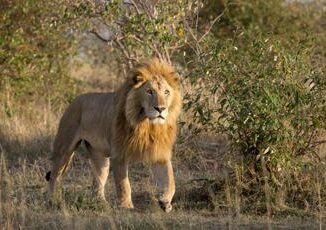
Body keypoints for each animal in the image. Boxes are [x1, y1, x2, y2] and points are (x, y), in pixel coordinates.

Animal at [45, 58, 182, 212]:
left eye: (166, 92)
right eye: (149, 91)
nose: (160, 109)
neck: (147, 124)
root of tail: (75, 99)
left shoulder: (159, 153)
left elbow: (170, 181)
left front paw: (165, 202)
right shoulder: (119, 154)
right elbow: (124, 184)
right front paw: (126, 206)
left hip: (99, 156)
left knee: (98, 181)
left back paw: (102, 204)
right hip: (65, 146)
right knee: (54, 175)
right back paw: (52, 200)